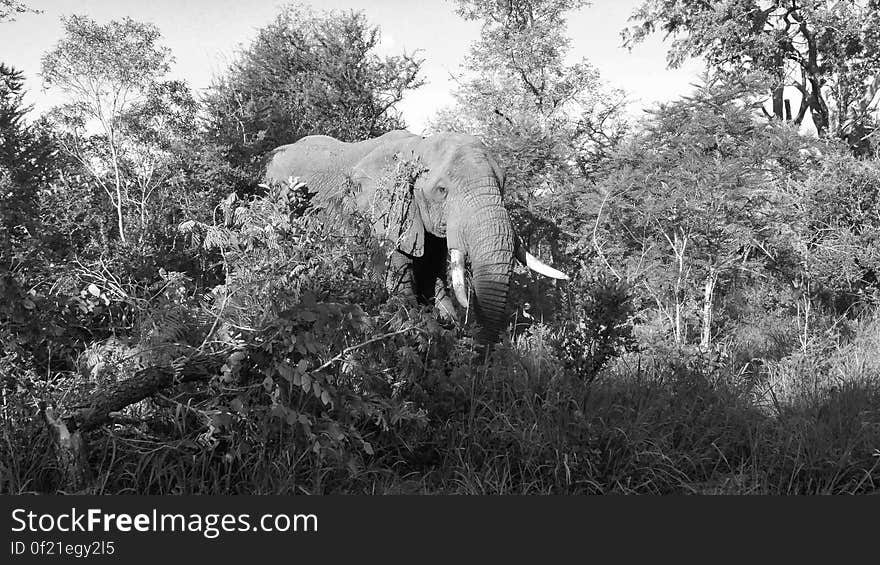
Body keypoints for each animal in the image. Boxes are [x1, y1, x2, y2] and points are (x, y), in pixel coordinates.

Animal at [264, 130, 568, 342]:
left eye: (502, 185)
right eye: (442, 191)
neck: (420, 145)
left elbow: (433, 280)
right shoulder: (383, 218)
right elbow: (401, 295)